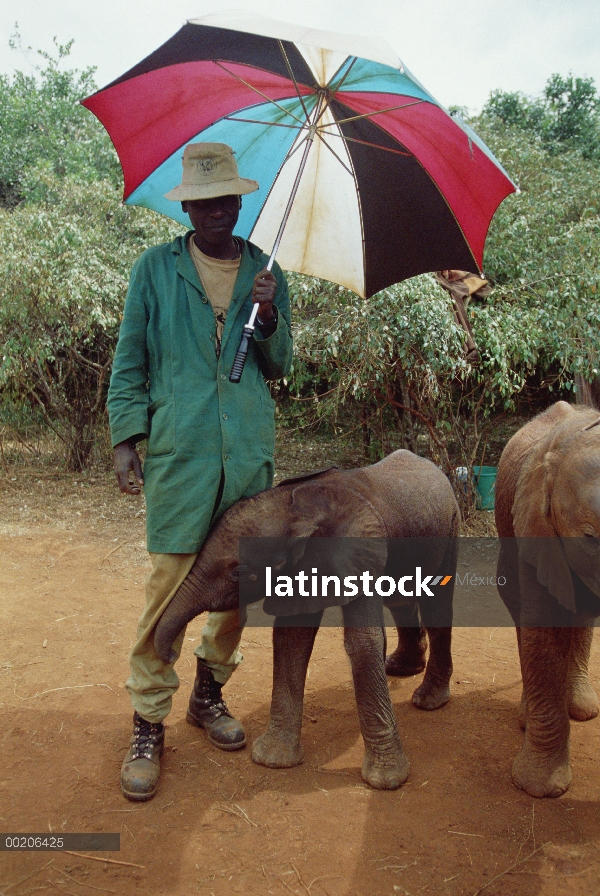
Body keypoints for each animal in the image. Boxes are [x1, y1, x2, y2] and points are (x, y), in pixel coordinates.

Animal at [155, 452, 460, 788]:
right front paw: (272, 761)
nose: (169, 654)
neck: (297, 509)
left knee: (436, 607)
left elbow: (362, 642)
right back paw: (400, 668)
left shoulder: (359, 550)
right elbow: (293, 636)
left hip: (451, 525)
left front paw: (385, 781)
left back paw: (429, 700)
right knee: (400, 598)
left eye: (239, 571)